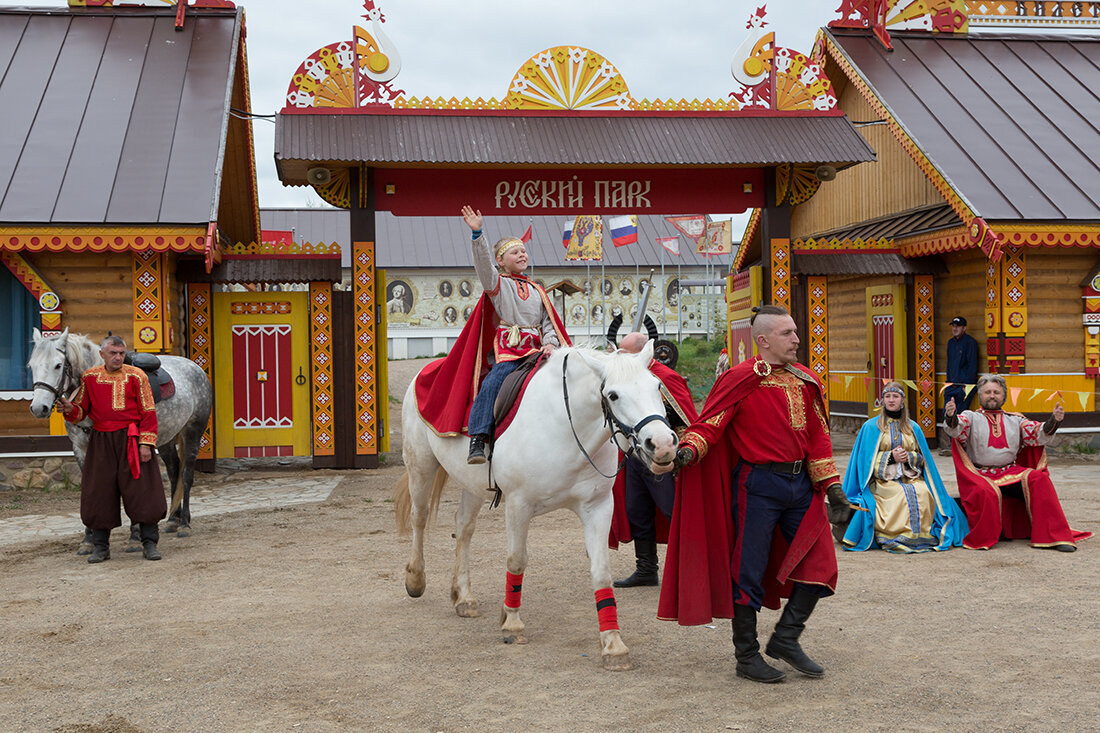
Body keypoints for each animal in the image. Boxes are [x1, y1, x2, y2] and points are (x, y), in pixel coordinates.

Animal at [391, 341, 673, 669]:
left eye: (657, 386)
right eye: (613, 395)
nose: (663, 445)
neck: (565, 427)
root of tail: (426, 371)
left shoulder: (598, 507)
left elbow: (601, 571)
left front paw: (613, 644)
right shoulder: (518, 505)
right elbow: (516, 561)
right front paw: (512, 623)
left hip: (471, 485)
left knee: (463, 528)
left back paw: (464, 597)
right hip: (421, 465)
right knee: (420, 517)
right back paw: (415, 579)